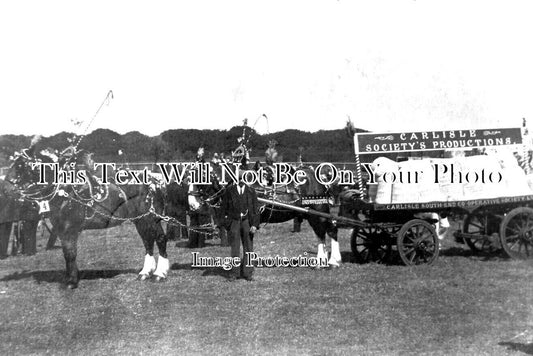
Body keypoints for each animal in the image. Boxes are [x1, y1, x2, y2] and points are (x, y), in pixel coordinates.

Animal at [5, 149, 172, 288]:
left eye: (20, 165)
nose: (6, 187)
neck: (65, 191)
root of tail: (156, 182)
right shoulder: (60, 230)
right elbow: (67, 254)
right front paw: (70, 278)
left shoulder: (69, 229)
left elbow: (70, 254)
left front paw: (71, 282)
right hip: (140, 220)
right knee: (147, 241)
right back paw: (145, 272)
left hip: (150, 218)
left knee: (160, 238)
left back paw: (159, 274)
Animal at [191, 164, 340, 268]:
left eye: (199, 180)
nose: (193, 204)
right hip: (311, 214)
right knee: (323, 233)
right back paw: (326, 261)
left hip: (318, 212)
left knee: (328, 230)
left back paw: (330, 261)